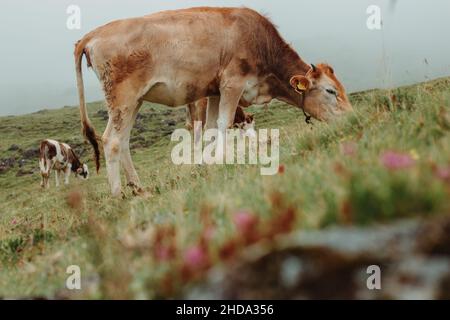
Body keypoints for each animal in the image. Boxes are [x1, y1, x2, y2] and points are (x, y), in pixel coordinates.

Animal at [75, 7, 354, 196]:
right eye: (331, 91)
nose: (353, 118)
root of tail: (92, 34)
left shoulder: (214, 92)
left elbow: (209, 129)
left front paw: (204, 165)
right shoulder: (232, 83)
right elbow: (224, 124)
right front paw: (220, 160)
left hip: (135, 102)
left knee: (122, 141)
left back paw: (139, 188)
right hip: (123, 98)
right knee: (111, 140)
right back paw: (118, 194)